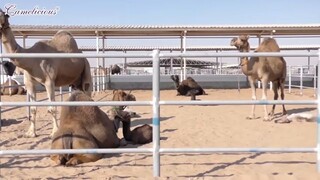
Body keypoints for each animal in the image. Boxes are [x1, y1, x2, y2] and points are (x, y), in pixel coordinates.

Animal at [0, 9, 92, 137]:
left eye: (2, 14)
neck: (31, 59)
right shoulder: (29, 82)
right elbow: (33, 108)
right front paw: (31, 133)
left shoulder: (49, 81)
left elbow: (52, 108)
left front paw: (54, 132)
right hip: (75, 82)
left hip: (87, 69)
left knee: (88, 94)